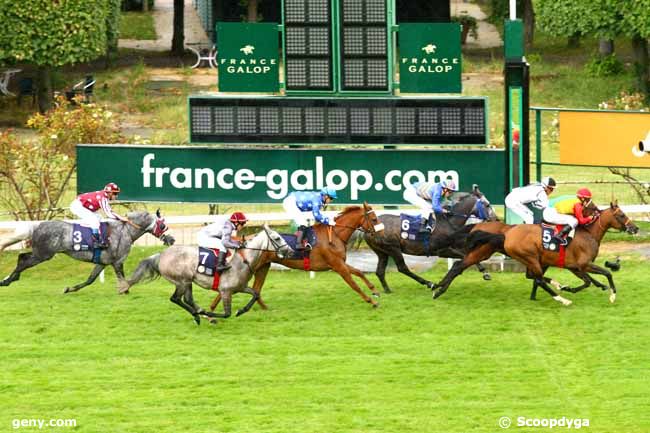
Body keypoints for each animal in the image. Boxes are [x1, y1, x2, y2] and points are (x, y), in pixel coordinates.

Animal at [0, 208, 172, 292]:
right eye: (163, 225)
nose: (172, 239)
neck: (126, 231)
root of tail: (37, 225)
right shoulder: (118, 261)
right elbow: (122, 278)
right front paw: (124, 290)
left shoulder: (102, 262)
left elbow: (90, 280)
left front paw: (69, 289)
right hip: (43, 254)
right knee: (23, 260)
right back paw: (6, 281)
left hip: (40, 253)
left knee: (22, 257)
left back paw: (10, 279)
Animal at [123, 224, 290, 322]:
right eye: (277, 238)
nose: (290, 251)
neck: (243, 260)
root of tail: (161, 255)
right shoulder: (225, 291)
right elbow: (227, 313)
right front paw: (210, 314)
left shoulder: (240, 287)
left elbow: (255, 294)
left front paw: (242, 310)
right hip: (182, 281)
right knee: (176, 298)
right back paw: (199, 314)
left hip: (187, 281)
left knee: (187, 299)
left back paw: (198, 313)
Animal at [211, 201, 384, 308]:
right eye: (374, 218)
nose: (381, 233)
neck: (335, 235)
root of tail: (245, 240)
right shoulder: (337, 266)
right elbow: (354, 284)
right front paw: (371, 301)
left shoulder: (340, 263)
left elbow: (359, 272)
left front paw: (375, 291)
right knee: (232, 287)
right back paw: (212, 310)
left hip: (262, 267)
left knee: (255, 289)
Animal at [360, 186, 496, 294]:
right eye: (487, 204)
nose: (496, 219)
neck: (448, 221)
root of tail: (368, 228)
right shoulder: (441, 250)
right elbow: (463, 256)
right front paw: (484, 272)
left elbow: (468, 255)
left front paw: (485, 272)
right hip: (393, 248)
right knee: (403, 268)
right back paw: (428, 283)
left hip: (382, 252)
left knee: (380, 271)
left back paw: (387, 290)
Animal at [430, 202, 636, 306]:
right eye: (621, 215)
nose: (634, 228)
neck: (588, 234)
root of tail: (507, 234)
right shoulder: (581, 265)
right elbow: (603, 274)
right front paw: (611, 295)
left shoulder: (575, 267)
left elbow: (590, 280)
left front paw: (597, 287)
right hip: (527, 257)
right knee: (537, 278)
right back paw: (561, 298)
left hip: (488, 254)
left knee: (458, 266)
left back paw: (438, 289)